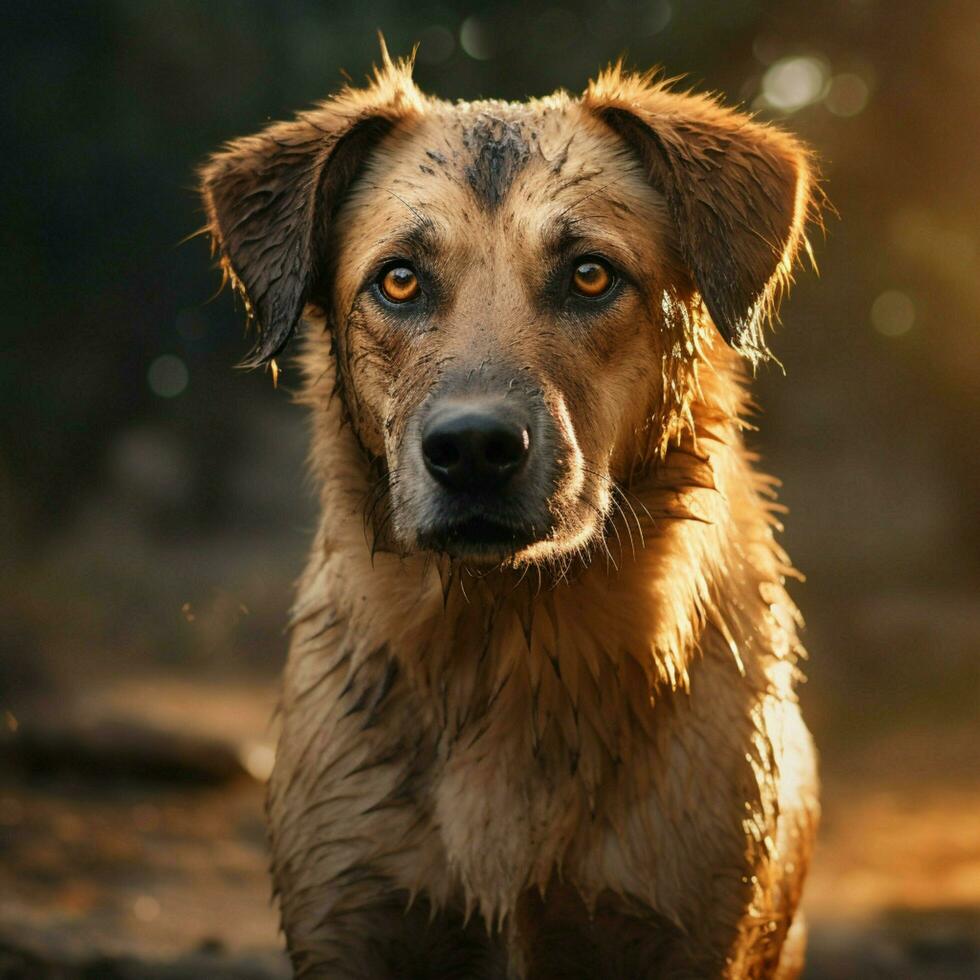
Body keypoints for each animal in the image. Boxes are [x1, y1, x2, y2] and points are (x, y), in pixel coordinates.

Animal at [203, 46, 824, 980]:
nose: (472, 449)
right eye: (398, 280)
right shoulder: (352, 912)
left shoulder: (686, 927)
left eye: (591, 274)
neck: (507, 647)